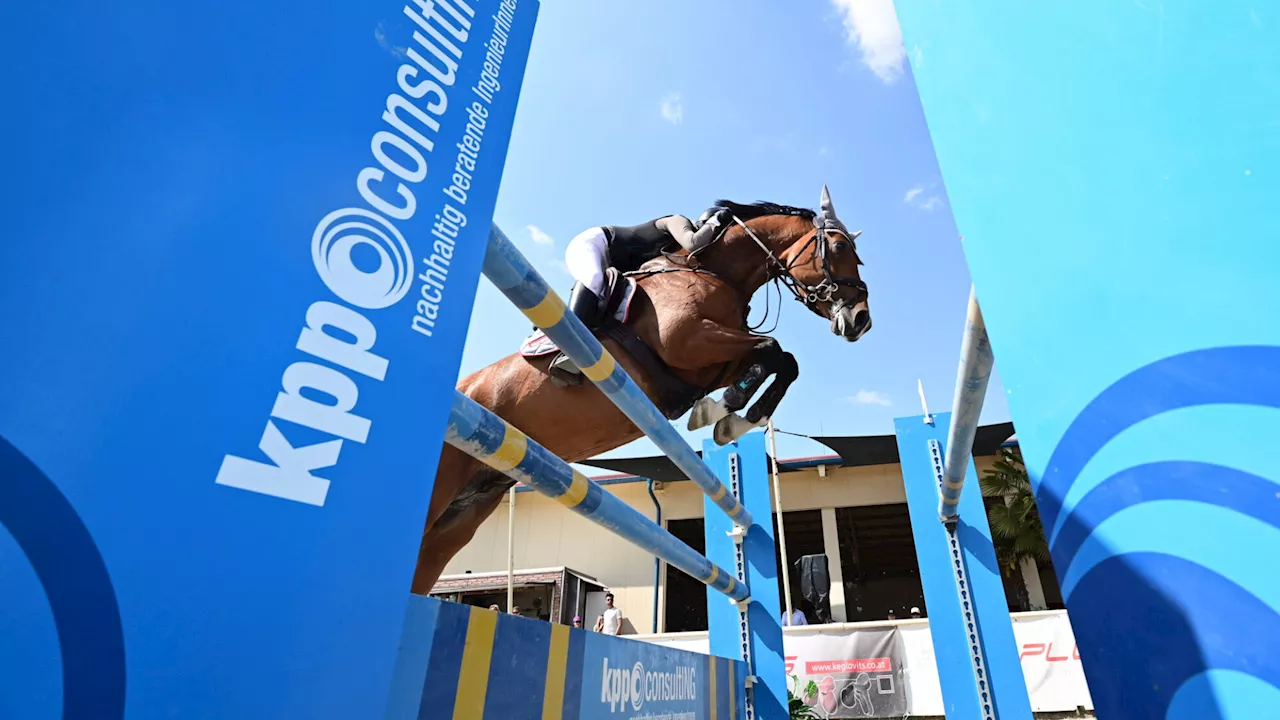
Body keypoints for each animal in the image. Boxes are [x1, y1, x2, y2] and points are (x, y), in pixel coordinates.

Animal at [409, 185, 870, 594]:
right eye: (838, 248)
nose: (861, 320)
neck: (716, 272)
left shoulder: (710, 364)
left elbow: (782, 360)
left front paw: (731, 420)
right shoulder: (688, 340)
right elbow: (772, 349)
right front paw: (723, 413)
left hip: (463, 514)